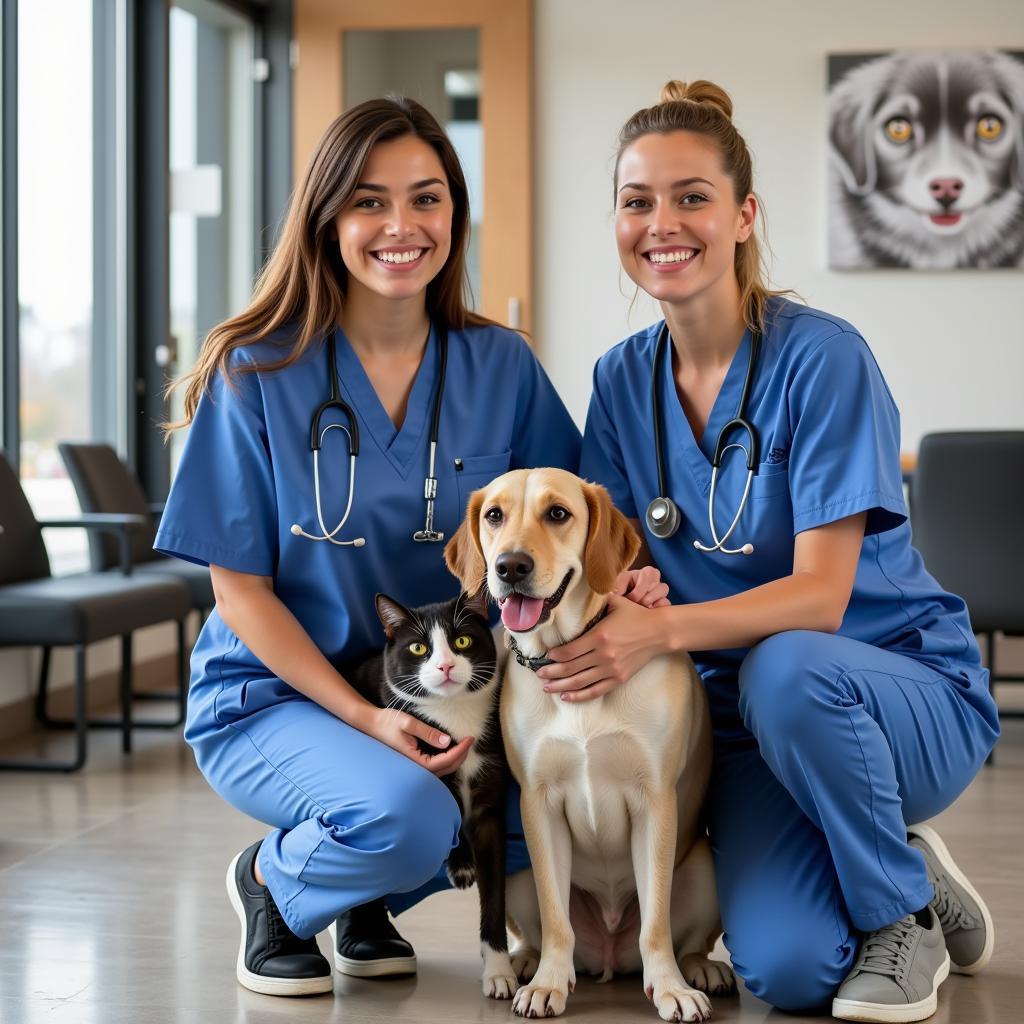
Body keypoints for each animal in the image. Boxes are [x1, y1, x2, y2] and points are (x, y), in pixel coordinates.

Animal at [344, 589, 520, 995]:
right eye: (419, 647)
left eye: (462, 641)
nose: (445, 666)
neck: (454, 715)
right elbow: (446, 806)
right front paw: (462, 865)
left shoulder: (491, 805)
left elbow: (495, 894)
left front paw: (499, 971)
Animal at [444, 468, 733, 1024]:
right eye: (494, 515)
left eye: (558, 513)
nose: (511, 565)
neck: (565, 653)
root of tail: (608, 957)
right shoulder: (538, 804)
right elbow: (558, 919)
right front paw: (548, 984)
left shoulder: (655, 801)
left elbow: (656, 924)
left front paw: (670, 989)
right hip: (516, 871)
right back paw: (527, 961)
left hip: (707, 871)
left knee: (684, 939)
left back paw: (700, 970)